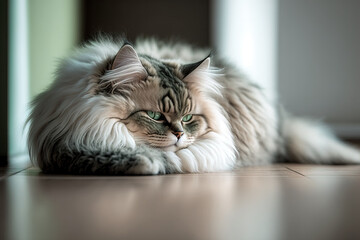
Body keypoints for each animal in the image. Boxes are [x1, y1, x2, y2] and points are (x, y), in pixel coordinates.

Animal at [26, 35, 360, 174]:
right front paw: (145, 162)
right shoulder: (62, 148)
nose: (179, 135)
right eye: (154, 115)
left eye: (188, 119)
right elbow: (100, 155)